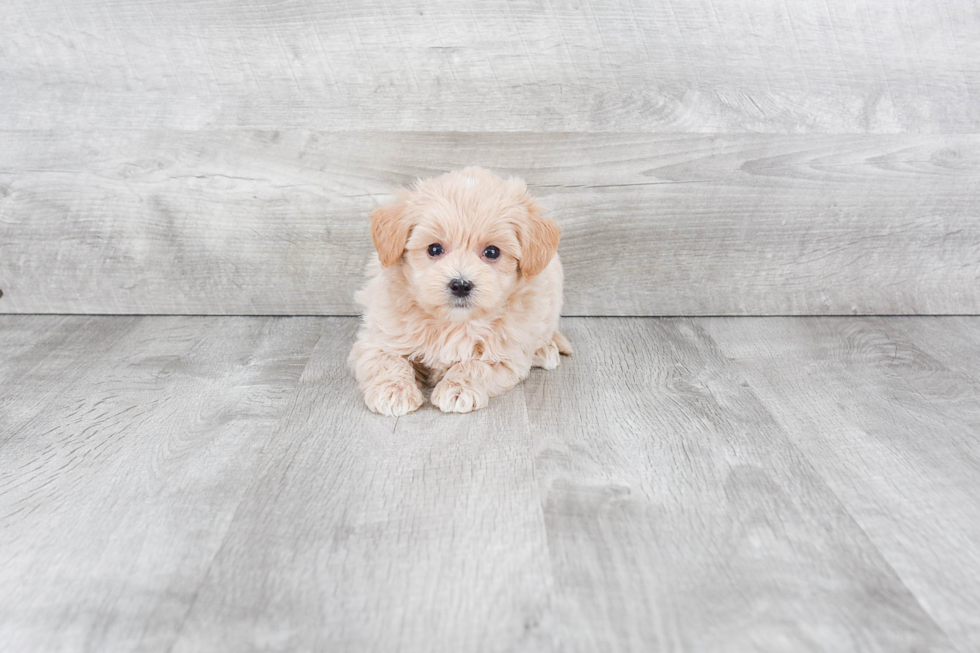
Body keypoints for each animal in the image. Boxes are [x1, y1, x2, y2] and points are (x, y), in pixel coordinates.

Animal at [350, 166, 568, 416]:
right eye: (434, 249)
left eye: (492, 252)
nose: (461, 285)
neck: (453, 323)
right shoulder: (376, 339)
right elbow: (388, 360)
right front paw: (393, 390)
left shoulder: (508, 357)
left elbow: (475, 365)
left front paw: (458, 388)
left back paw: (545, 350)